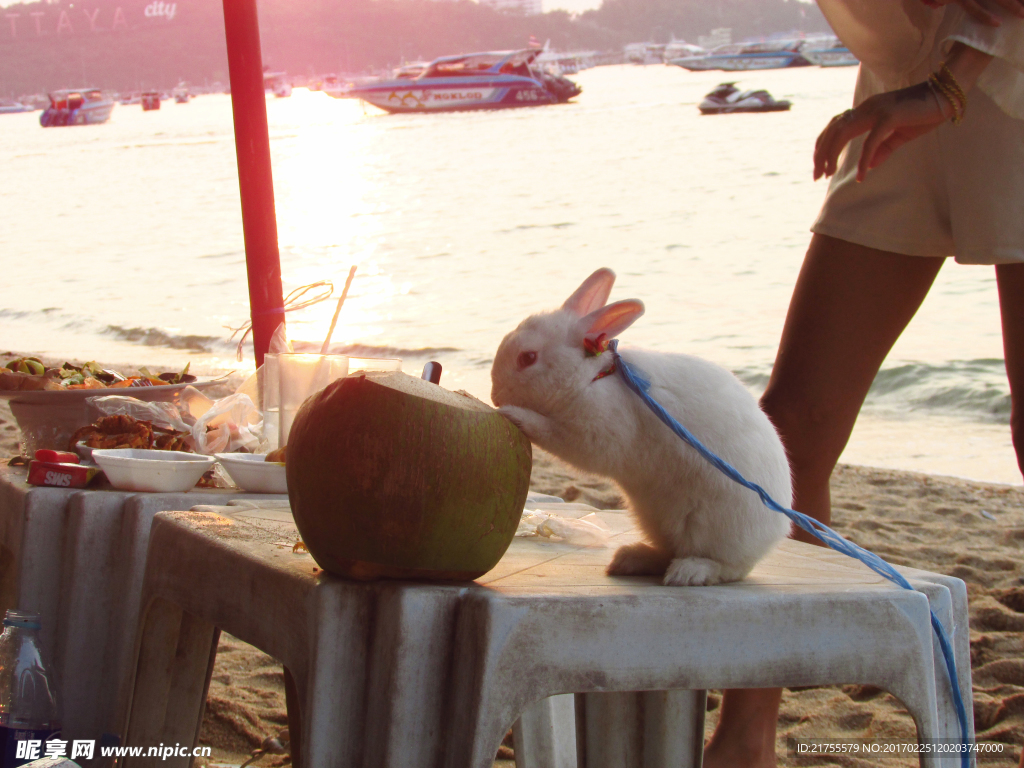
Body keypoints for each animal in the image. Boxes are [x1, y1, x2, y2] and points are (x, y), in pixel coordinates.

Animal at [491, 268, 794, 585]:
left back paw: (686, 572)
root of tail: (774, 534)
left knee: (724, 567)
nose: (495, 396)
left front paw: (513, 414)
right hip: (657, 521)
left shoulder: (594, 436)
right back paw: (629, 559)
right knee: (668, 553)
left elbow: (551, 433)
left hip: (712, 530)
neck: (592, 378)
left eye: (527, 358)